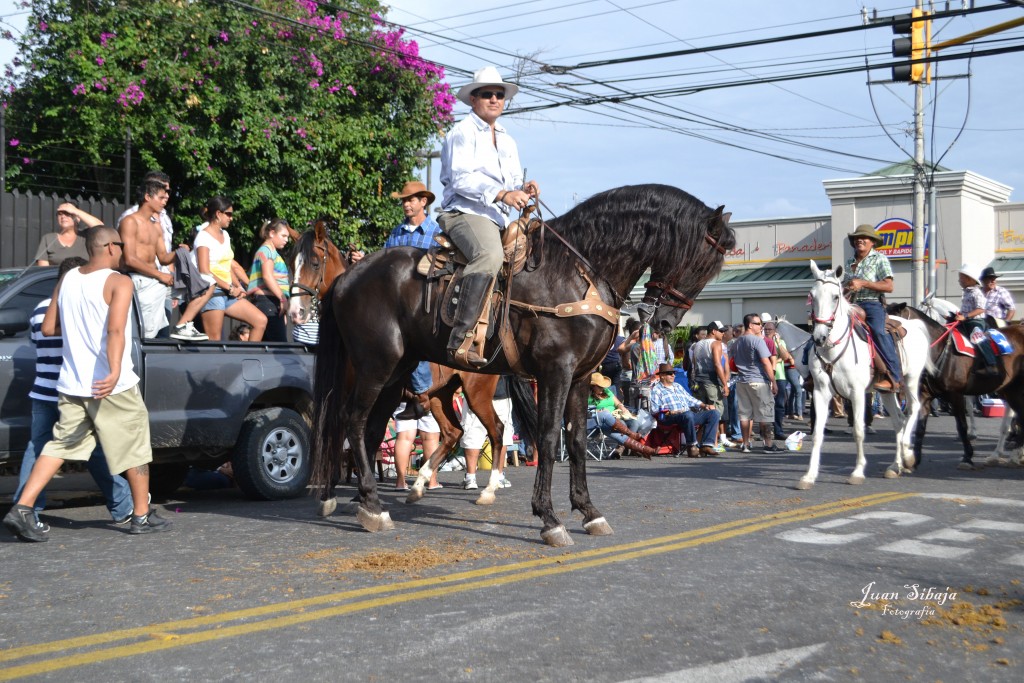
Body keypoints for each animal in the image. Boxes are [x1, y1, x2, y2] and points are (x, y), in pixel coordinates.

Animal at [307, 184, 733, 548]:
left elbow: (577, 440)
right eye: (702, 263)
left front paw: (589, 511)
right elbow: (547, 437)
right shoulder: (555, 372)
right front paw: (549, 518)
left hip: (396, 374)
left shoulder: (579, 377)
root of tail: (347, 277)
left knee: (370, 425)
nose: (665, 323)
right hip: (376, 365)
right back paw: (372, 504)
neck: (577, 273)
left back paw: (361, 499)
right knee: (352, 420)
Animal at [798, 259, 937, 489]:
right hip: (888, 391)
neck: (833, 350)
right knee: (899, 420)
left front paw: (857, 472)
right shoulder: (820, 391)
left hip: (910, 380)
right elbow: (817, 433)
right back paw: (894, 466)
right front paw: (809, 475)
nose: (819, 337)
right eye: (812, 295)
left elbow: (858, 431)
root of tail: (914, 324)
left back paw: (908, 455)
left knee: (914, 408)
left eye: (835, 296)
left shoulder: (857, 393)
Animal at [888, 305, 1024, 471]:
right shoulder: (925, 396)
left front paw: (967, 457)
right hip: (1011, 390)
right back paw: (1012, 455)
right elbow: (920, 428)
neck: (942, 353)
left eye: (894, 330)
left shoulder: (956, 394)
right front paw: (914, 460)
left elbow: (962, 426)